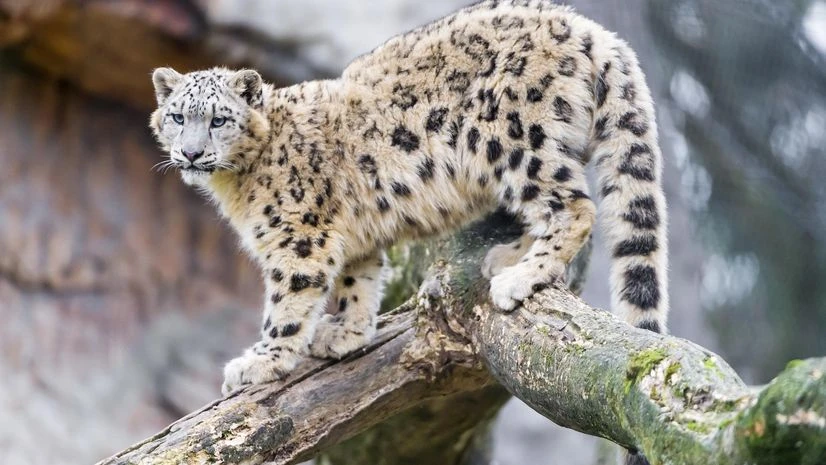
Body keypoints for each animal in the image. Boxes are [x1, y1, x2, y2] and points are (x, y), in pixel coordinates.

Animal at [149, 0, 668, 417]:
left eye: (219, 120)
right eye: (177, 117)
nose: (191, 153)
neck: (235, 186)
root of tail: (590, 29)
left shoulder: (299, 237)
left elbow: (288, 303)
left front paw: (261, 362)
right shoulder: (349, 232)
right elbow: (359, 279)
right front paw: (348, 333)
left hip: (516, 141)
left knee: (575, 207)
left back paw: (519, 277)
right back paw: (507, 256)